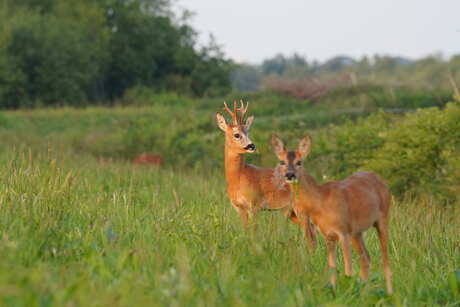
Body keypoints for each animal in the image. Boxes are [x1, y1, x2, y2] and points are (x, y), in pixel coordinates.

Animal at [216, 101, 316, 248]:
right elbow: (245, 231)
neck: (238, 178)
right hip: (292, 212)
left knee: (311, 237)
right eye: (237, 134)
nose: (252, 146)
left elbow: (254, 232)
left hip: (301, 208)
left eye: (248, 131)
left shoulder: (255, 204)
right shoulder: (239, 207)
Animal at [272, 135, 394, 296]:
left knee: (385, 258)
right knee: (366, 258)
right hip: (357, 232)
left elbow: (348, 269)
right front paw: (335, 292)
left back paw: (389, 293)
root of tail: (380, 179)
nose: (290, 175)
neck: (320, 202)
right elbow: (332, 269)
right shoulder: (328, 236)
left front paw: (348, 291)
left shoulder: (342, 232)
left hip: (382, 218)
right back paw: (365, 293)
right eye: (282, 162)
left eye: (300, 162)